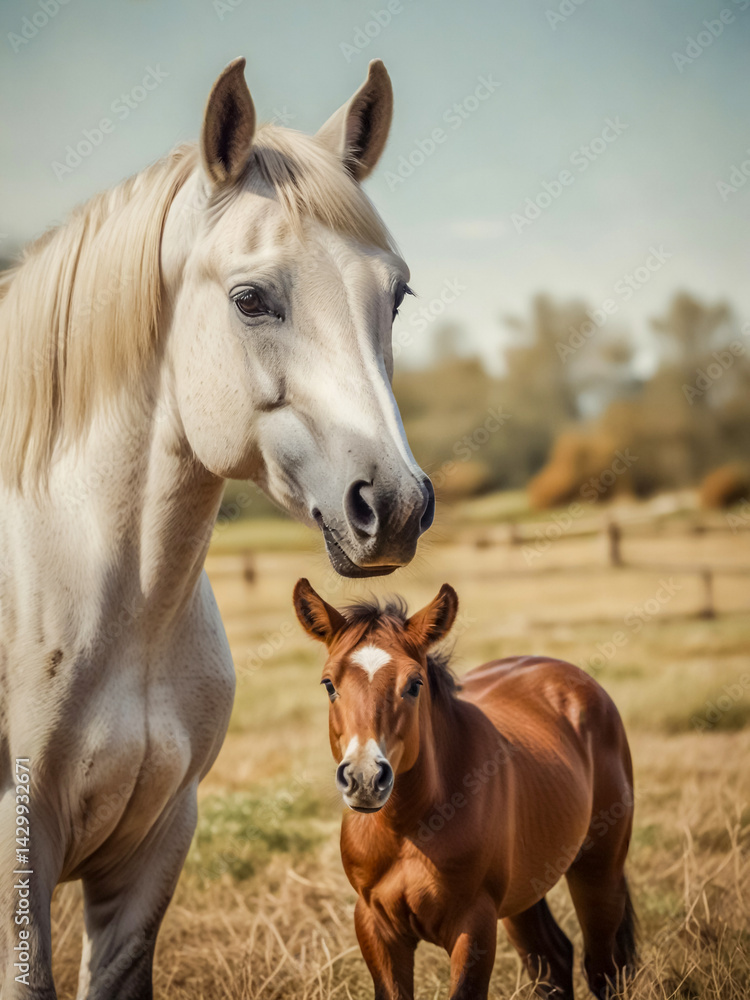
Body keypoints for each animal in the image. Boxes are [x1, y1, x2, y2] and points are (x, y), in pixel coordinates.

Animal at [294, 580, 637, 1000]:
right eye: (329, 684)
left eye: (414, 685)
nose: (365, 779)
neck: (411, 827)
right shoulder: (376, 926)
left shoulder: (474, 925)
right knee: (553, 961)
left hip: (598, 872)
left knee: (603, 969)